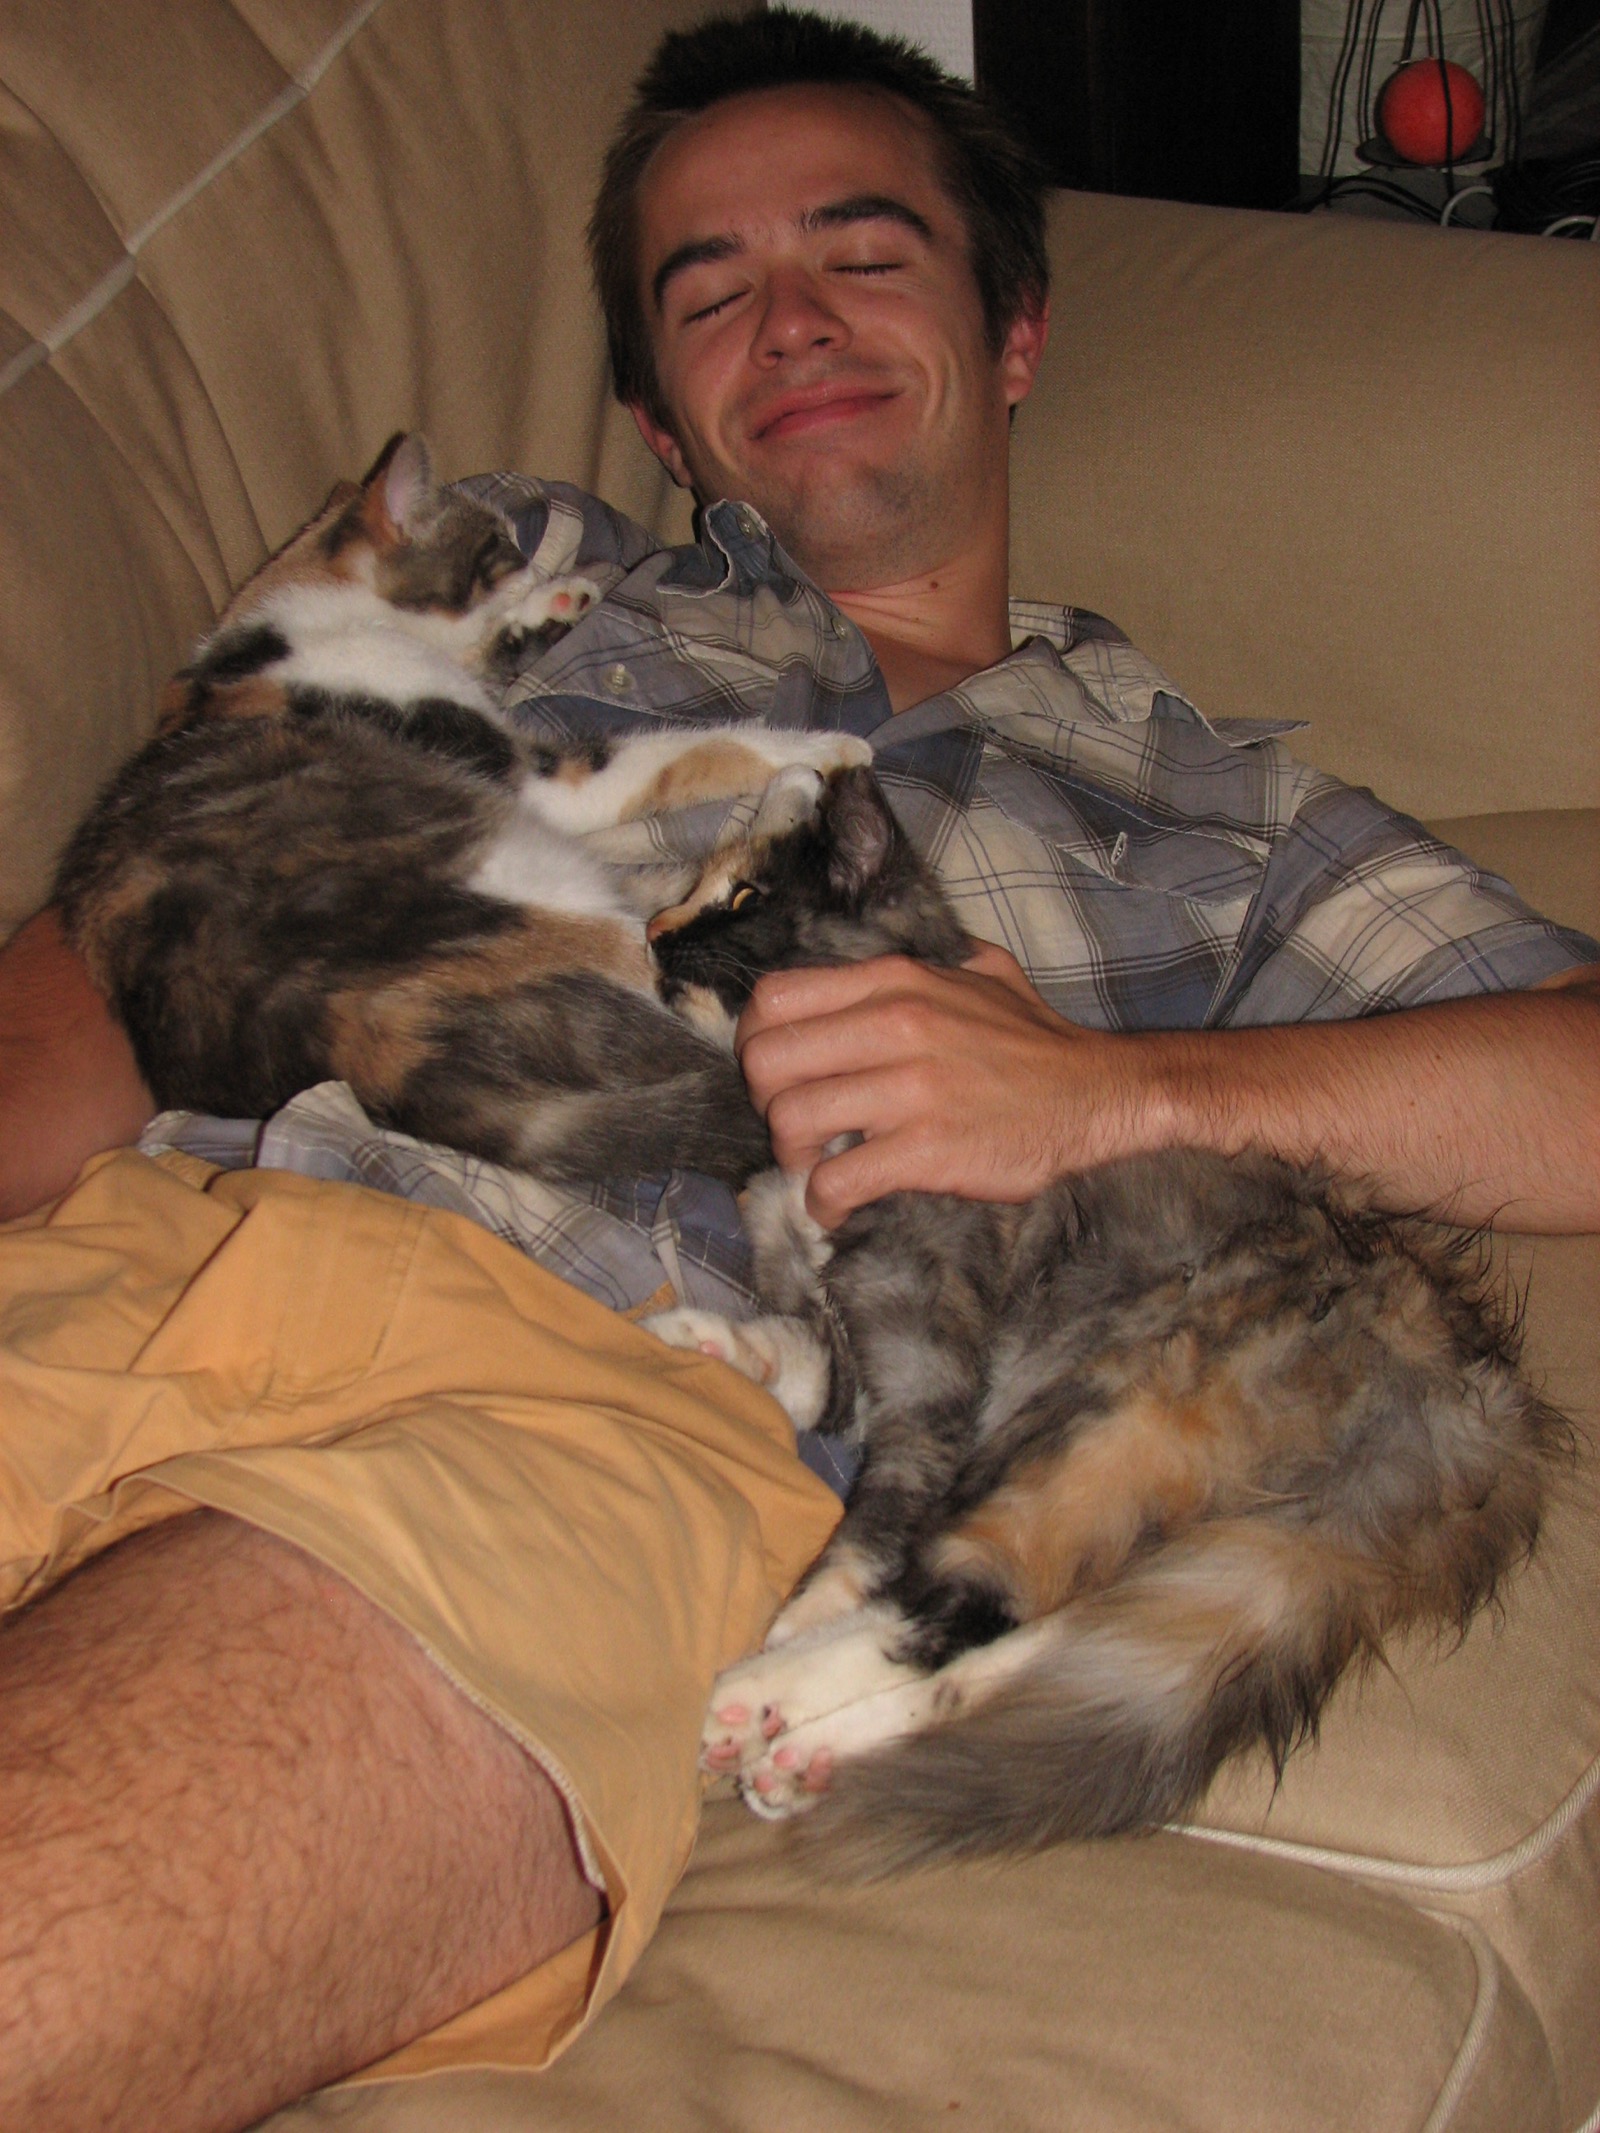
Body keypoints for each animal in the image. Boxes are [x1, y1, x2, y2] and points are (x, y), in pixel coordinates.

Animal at [54, 434, 869, 1186]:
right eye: (502, 547)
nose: (551, 565)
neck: (305, 620)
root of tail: (363, 1048)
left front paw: (552, 610)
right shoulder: (536, 777)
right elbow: (682, 751)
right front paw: (823, 747)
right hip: (563, 902)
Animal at [645, 761, 1567, 1874]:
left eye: (741, 898)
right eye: (690, 891)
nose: (652, 931)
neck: (817, 1148)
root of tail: (1469, 1405)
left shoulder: (927, 1372)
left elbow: (870, 1532)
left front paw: (796, 1621)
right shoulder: (853, 1351)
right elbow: (795, 1355)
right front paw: (698, 1337)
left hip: (1100, 1417)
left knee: (971, 1598)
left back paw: (764, 1700)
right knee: (1047, 1635)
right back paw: (807, 1755)